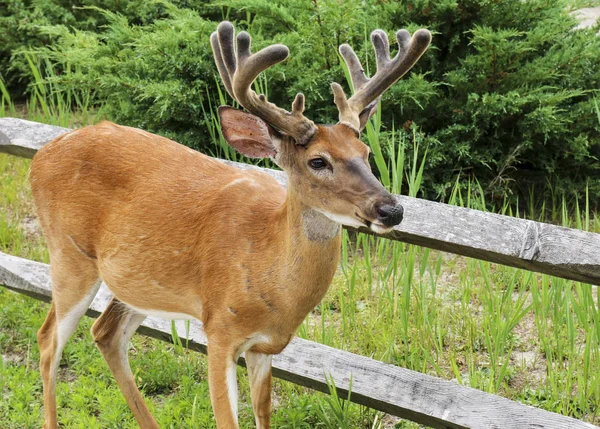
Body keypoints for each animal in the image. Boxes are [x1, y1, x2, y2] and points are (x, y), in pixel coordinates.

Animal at [29, 20, 432, 428]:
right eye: (318, 161)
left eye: (366, 153)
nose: (390, 210)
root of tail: (42, 152)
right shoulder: (219, 329)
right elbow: (227, 418)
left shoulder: (266, 347)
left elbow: (263, 415)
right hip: (69, 254)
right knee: (48, 339)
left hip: (135, 281)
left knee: (105, 332)